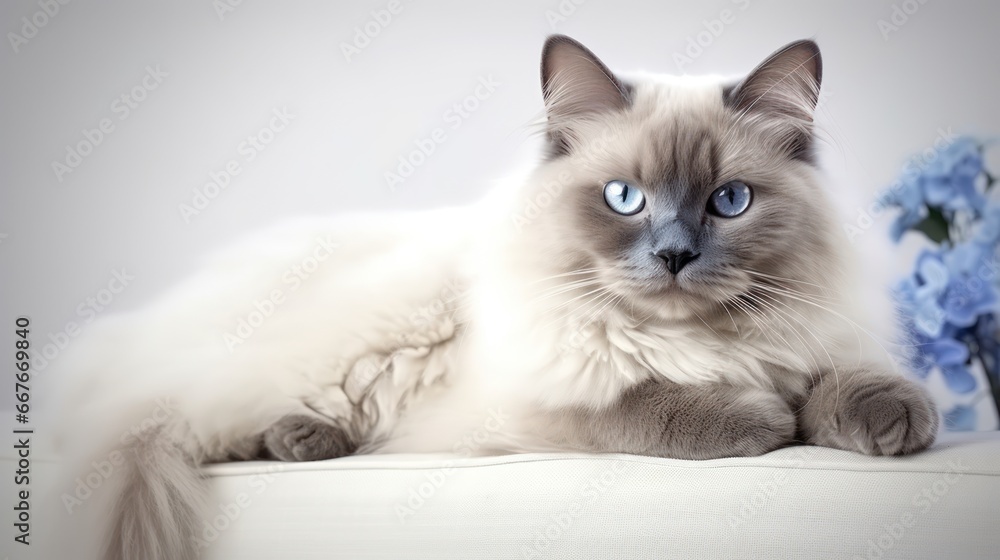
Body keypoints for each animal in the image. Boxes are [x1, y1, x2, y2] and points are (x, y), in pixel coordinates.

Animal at [45, 34, 936, 560]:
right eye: (624, 199)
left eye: (730, 202)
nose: (675, 256)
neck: (704, 344)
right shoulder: (537, 407)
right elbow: (643, 403)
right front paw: (757, 416)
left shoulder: (811, 340)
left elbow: (842, 382)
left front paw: (894, 420)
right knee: (195, 423)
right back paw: (302, 438)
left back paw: (303, 442)